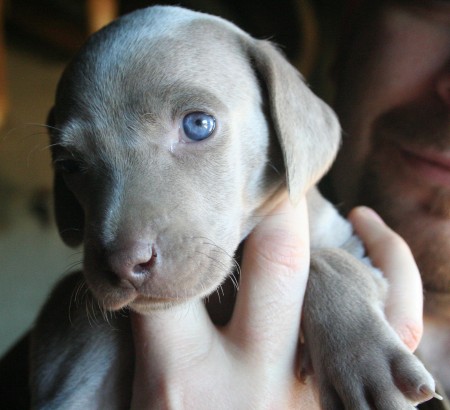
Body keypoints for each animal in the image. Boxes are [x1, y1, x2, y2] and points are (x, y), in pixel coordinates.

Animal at [29, 4, 436, 408]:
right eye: (69, 165)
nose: (123, 264)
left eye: (198, 124)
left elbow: (329, 260)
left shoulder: (349, 242)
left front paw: (364, 361)